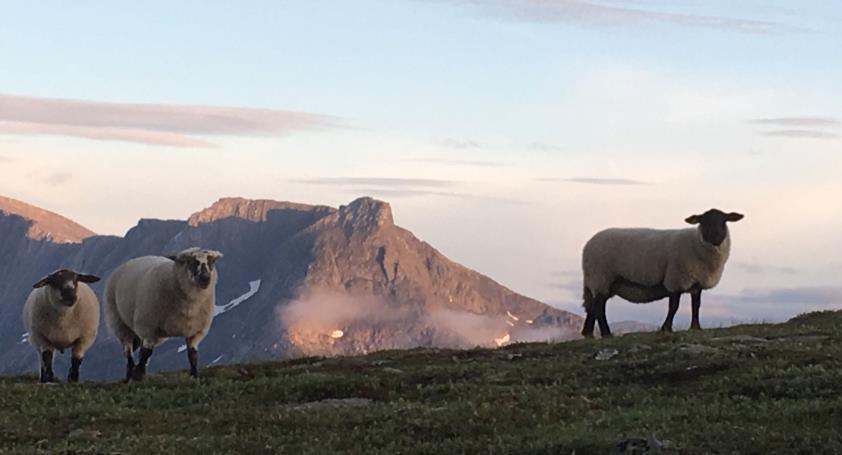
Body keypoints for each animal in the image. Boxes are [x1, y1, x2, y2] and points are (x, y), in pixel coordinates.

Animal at [103, 246, 221, 382]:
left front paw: (194, 375)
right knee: (128, 350)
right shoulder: (148, 327)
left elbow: (193, 354)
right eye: (190, 261)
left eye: (212, 262)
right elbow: (147, 352)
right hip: (119, 321)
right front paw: (138, 375)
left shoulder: (196, 331)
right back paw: (129, 376)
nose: (205, 278)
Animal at [580, 210, 740, 338]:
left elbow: (696, 305)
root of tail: (587, 245)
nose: (716, 236)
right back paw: (606, 334)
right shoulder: (676, 278)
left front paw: (696, 327)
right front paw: (666, 328)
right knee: (599, 308)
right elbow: (674, 306)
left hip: (602, 282)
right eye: (703, 221)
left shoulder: (697, 283)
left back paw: (588, 334)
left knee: (593, 306)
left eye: (724, 221)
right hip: (601, 277)